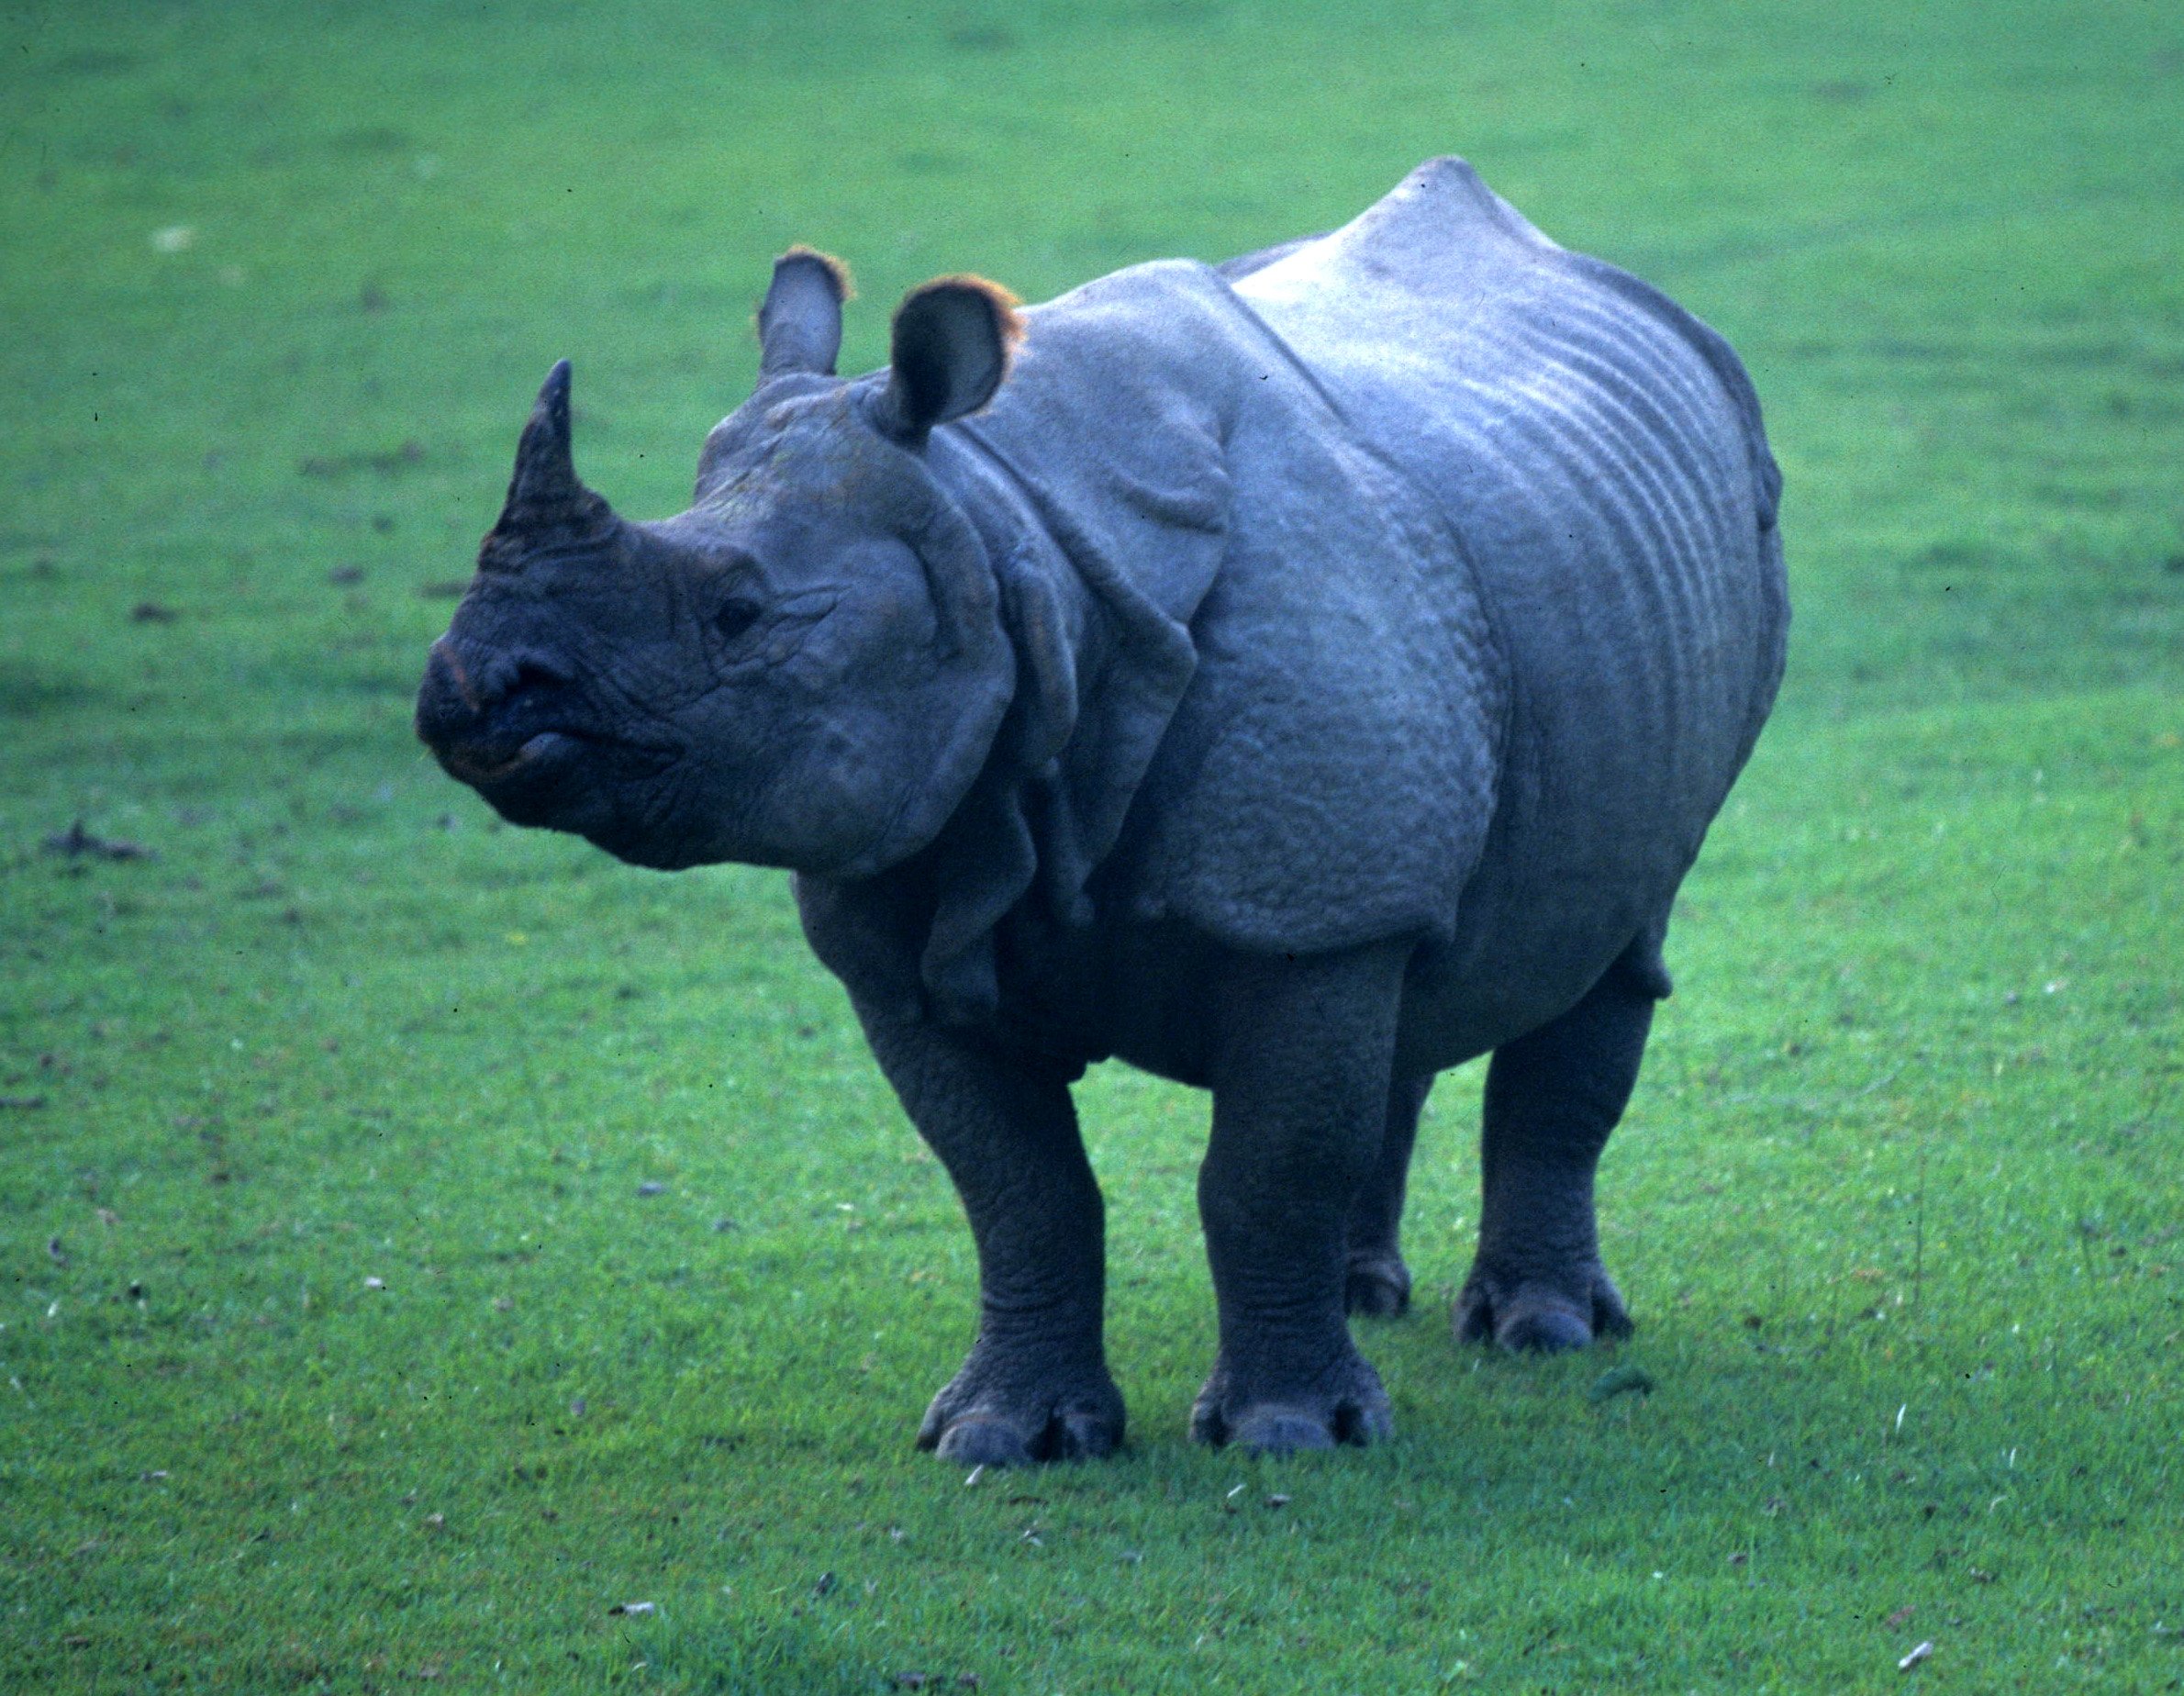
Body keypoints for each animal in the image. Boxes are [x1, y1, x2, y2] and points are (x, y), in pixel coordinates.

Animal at [416, 158, 1787, 1462]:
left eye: (738, 613)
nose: (466, 694)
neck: (1009, 543)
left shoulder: (1293, 898)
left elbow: (1265, 1168)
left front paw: (1293, 1434)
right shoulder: (916, 876)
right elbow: (1018, 1188)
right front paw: (1004, 1438)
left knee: (1616, 933)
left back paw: (1539, 1333)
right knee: (1412, 957)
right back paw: (1365, 1300)